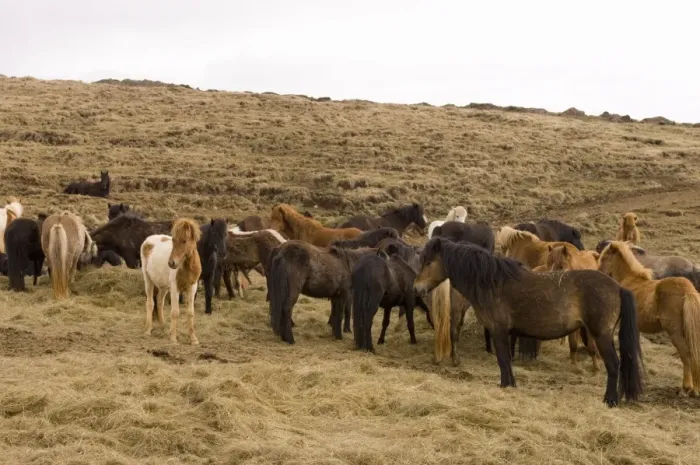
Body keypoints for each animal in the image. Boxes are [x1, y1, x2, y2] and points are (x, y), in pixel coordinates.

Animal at [415, 237, 644, 407]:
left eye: (429, 262)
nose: (417, 288)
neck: (492, 282)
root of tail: (617, 287)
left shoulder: (498, 331)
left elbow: (503, 360)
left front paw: (505, 386)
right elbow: (506, 360)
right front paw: (511, 385)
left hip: (601, 335)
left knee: (613, 365)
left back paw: (610, 400)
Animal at [599, 241, 700, 396]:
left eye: (604, 257)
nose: (598, 272)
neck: (630, 280)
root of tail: (687, 289)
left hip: (675, 332)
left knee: (686, 354)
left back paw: (686, 388)